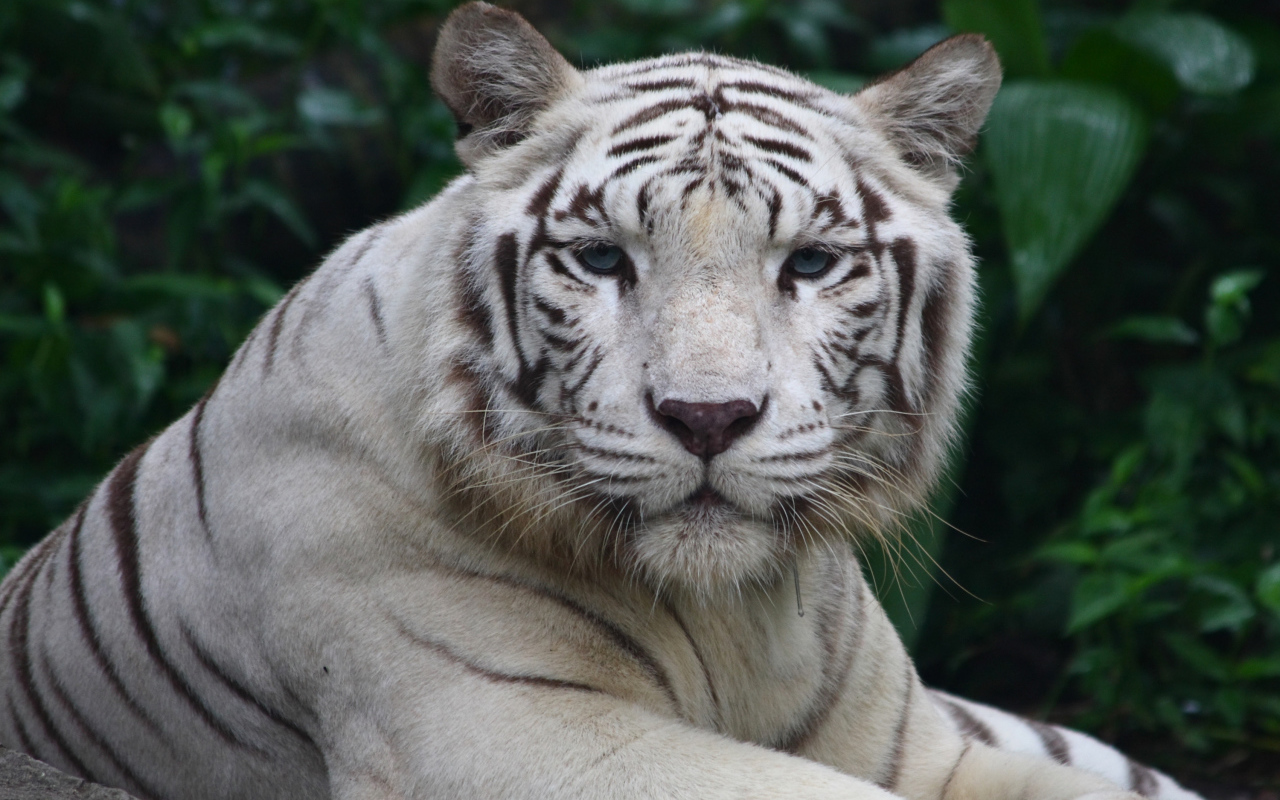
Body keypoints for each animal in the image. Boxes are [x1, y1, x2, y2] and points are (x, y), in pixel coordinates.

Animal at [0, 4, 1204, 799]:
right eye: (600, 258)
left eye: (811, 264)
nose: (708, 417)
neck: (735, 613)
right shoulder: (510, 731)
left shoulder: (918, 742)